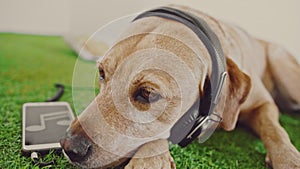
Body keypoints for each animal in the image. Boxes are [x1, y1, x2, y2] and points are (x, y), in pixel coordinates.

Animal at [60, 4, 300, 168]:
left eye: (147, 93)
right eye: (101, 74)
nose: (68, 146)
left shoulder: (264, 104)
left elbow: (275, 130)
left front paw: (288, 158)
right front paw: (151, 160)